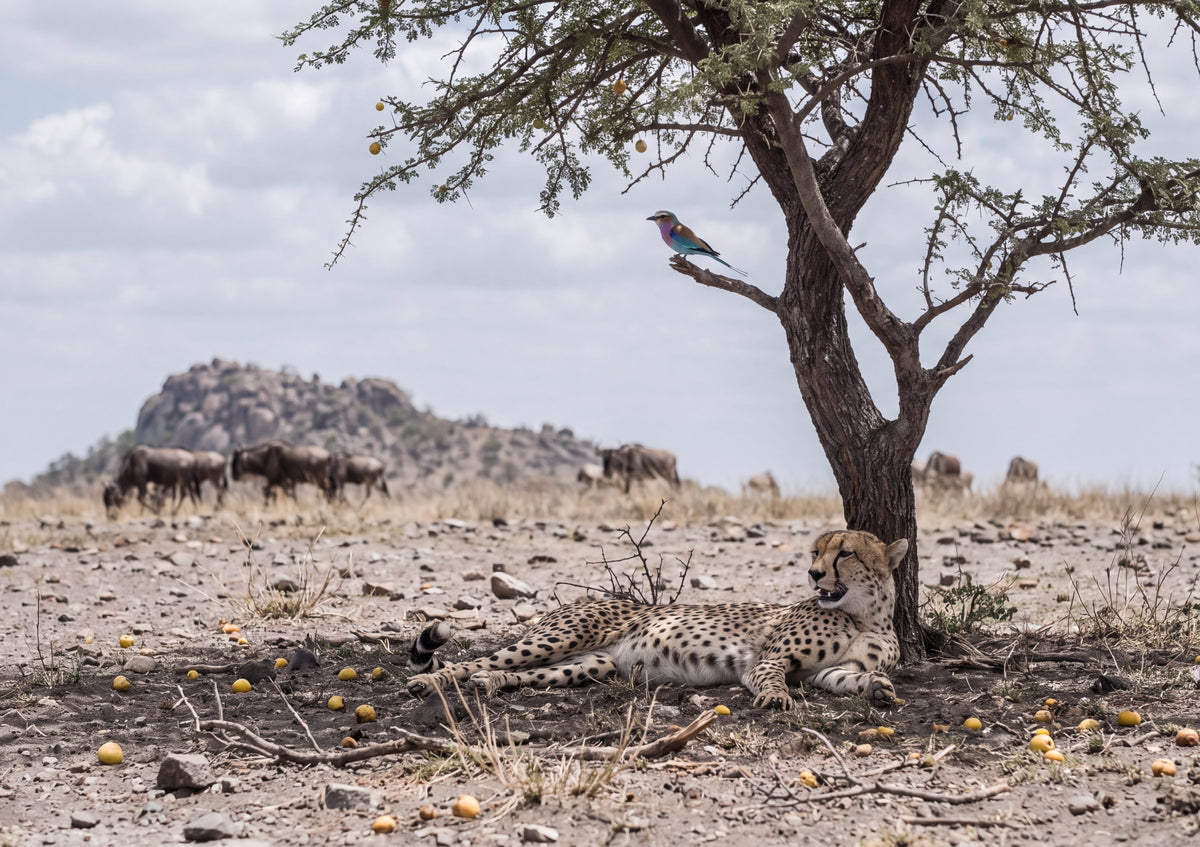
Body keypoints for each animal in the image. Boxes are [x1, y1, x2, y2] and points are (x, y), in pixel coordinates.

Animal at [407, 529, 909, 710]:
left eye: (844, 553)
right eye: (815, 552)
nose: (813, 573)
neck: (863, 614)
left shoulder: (826, 671)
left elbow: (849, 678)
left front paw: (878, 689)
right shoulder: (767, 661)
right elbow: (769, 678)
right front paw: (776, 697)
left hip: (591, 664)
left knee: (522, 675)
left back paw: (491, 686)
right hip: (562, 637)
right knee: (476, 661)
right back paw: (427, 683)